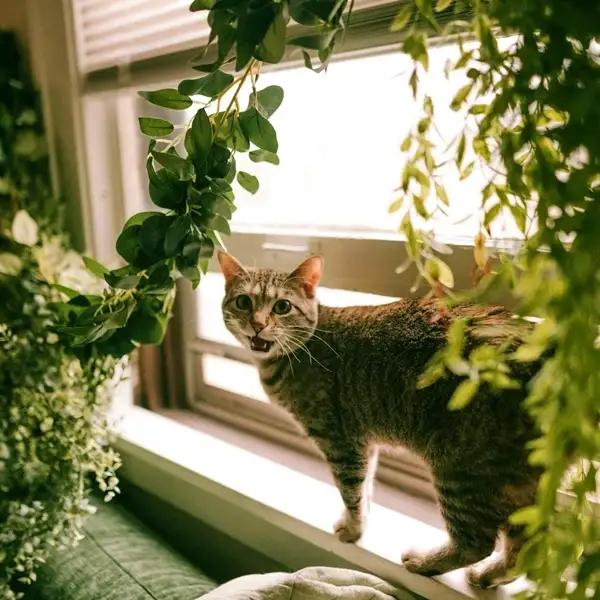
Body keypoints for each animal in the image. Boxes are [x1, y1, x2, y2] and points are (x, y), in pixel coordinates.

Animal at [217, 251, 544, 588]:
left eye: (282, 306)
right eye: (243, 302)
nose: (257, 325)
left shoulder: (341, 442)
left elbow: (351, 492)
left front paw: (353, 530)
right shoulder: (363, 444)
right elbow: (366, 489)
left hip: (460, 469)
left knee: (477, 542)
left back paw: (424, 562)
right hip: (516, 481)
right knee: (524, 545)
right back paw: (490, 574)